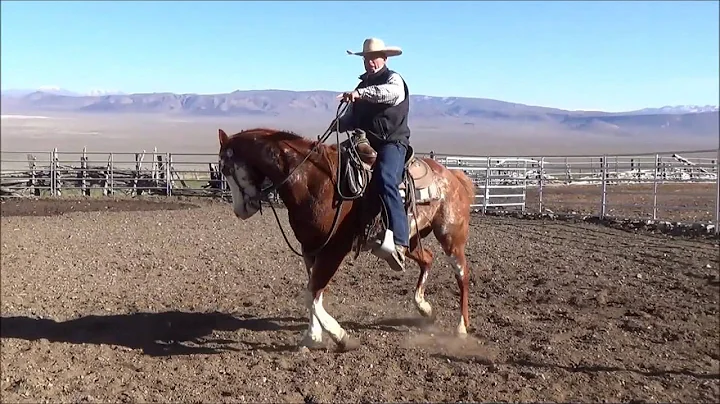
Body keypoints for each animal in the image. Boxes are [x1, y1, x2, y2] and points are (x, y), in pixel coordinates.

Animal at [219, 124, 478, 352]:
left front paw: (340, 337)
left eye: (226, 170)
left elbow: (311, 295)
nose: (239, 211)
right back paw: (425, 308)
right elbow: (314, 293)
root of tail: (453, 175)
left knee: (462, 273)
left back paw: (461, 327)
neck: (314, 180)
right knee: (428, 259)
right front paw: (313, 336)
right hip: (412, 240)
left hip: (450, 235)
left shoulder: (334, 250)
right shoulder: (310, 249)